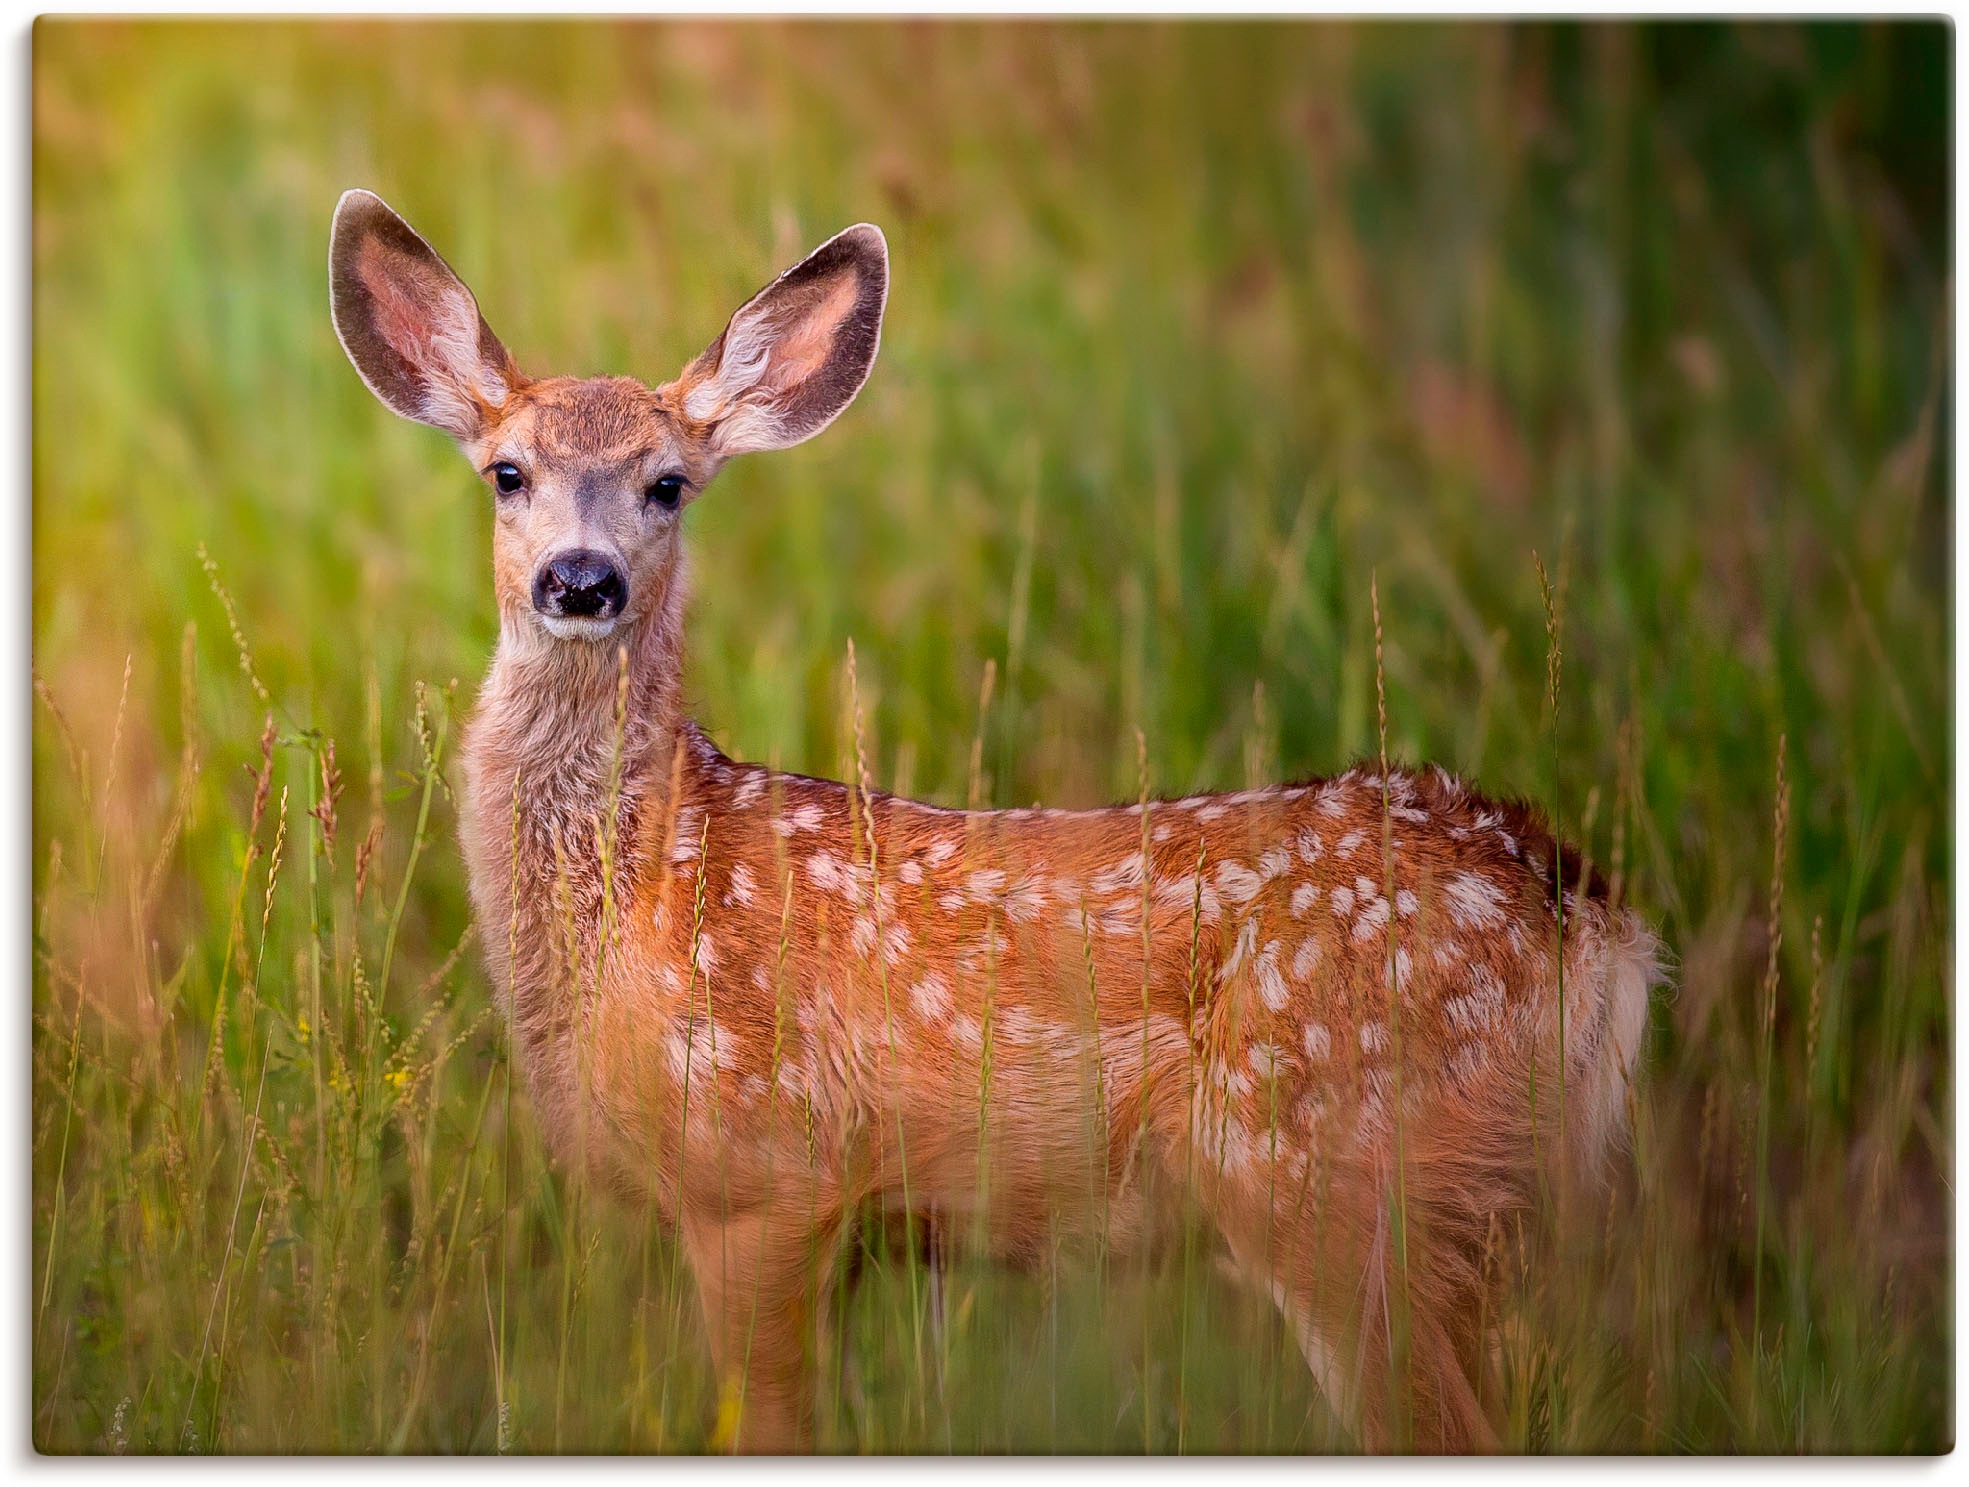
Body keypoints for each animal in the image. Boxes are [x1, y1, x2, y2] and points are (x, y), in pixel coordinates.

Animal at [326, 189, 1661, 1457]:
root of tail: (1590, 918)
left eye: (669, 484)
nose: (581, 578)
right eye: (507, 473)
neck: (646, 882)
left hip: (1332, 1168)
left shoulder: (760, 1176)